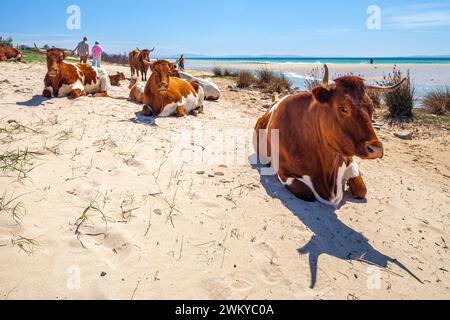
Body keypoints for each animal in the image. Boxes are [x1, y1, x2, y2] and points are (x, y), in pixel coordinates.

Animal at [255, 65, 406, 208]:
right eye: (343, 108)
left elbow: (361, 189)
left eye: (372, 108)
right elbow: (306, 192)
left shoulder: (349, 159)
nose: (376, 149)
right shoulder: (283, 172)